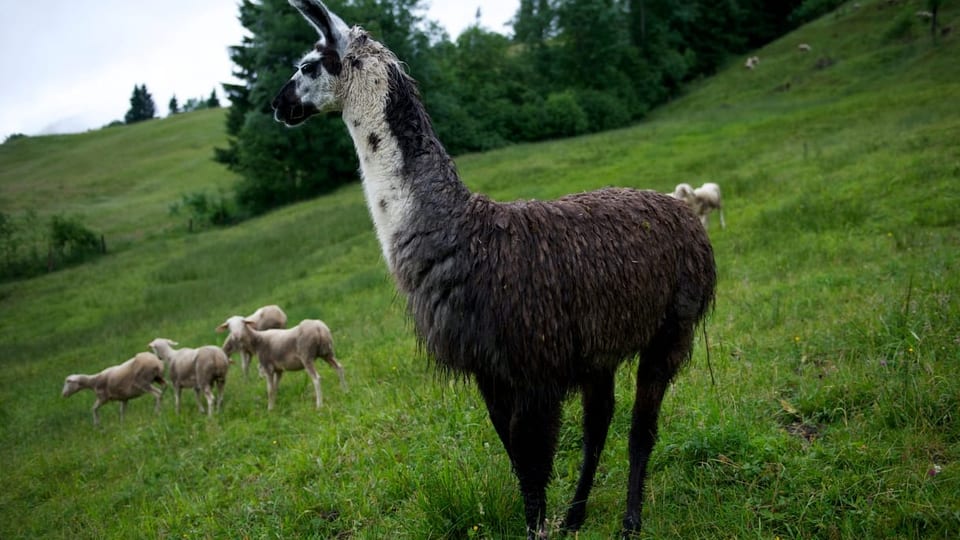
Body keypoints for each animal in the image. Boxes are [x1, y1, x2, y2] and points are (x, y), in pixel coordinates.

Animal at [216, 316, 346, 410]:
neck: (257, 341)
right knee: (339, 368)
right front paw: (275, 404)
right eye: (229, 326)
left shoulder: (267, 367)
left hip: (307, 356)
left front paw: (270, 409)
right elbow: (275, 387)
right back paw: (345, 391)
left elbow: (269, 389)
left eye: (243, 323)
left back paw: (319, 405)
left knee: (317, 379)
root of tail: (319, 328)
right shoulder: (279, 370)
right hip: (327, 353)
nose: (236, 336)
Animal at [266, 2, 716, 536]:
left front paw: (539, 527)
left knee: (640, 427)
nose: (277, 105)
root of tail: (682, 213)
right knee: (599, 422)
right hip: (598, 344)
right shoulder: (490, 367)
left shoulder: (533, 363)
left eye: (308, 66)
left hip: (671, 326)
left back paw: (629, 521)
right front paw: (546, 523)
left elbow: (534, 462)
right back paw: (575, 517)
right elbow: (517, 460)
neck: (459, 232)